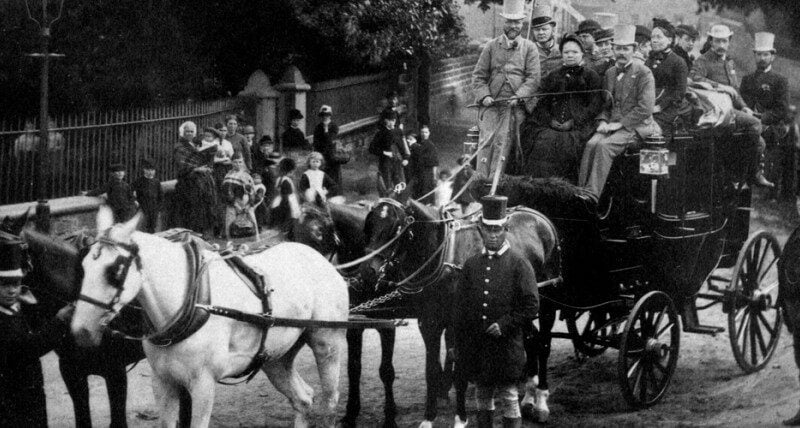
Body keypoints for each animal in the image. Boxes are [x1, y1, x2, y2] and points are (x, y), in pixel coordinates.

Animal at [72, 206, 350, 424]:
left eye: (115, 271)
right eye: (83, 266)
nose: (80, 331)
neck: (190, 302)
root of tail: (321, 261)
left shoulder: (202, 385)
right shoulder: (162, 382)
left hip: (327, 343)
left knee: (329, 402)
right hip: (275, 358)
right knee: (303, 400)